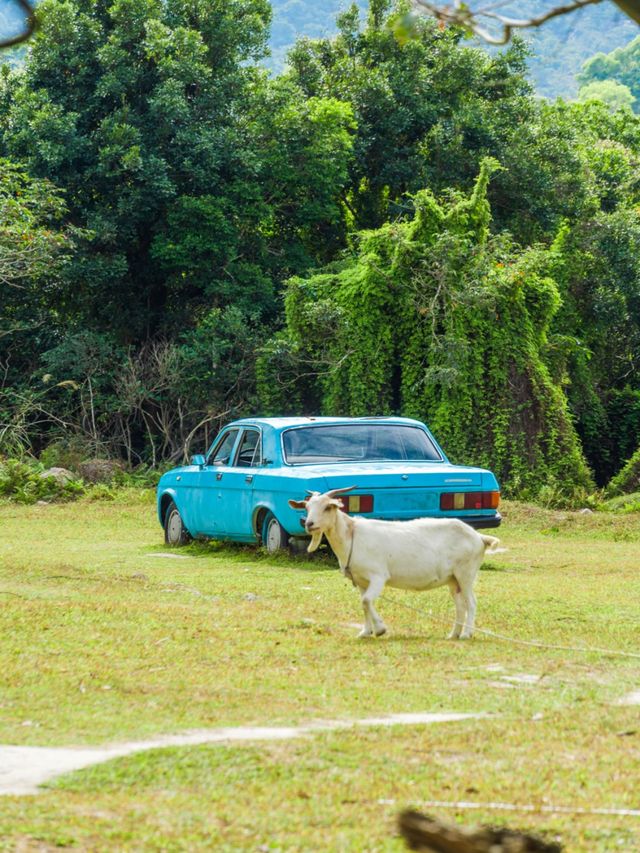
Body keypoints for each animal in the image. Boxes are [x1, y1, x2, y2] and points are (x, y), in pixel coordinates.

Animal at [288, 486, 502, 640]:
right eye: (307, 508)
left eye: (327, 507)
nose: (309, 524)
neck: (351, 536)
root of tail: (479, 537)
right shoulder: (361, 581)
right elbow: (363, 603)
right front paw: (365, 632)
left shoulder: (378, 576)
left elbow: (367, 601)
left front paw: (380, 629)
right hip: (452, 579)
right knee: (460, 605)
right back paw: (453, 634)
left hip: (466, 573)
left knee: (471, 602)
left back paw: (467, 634)